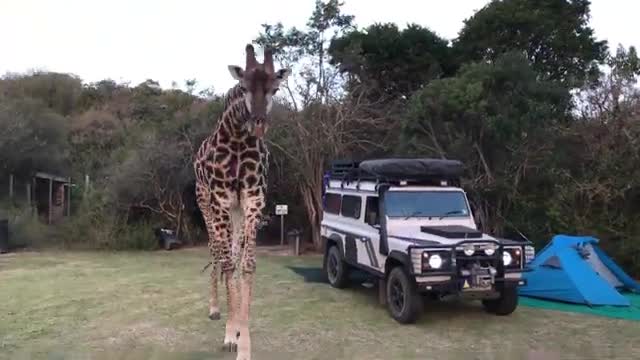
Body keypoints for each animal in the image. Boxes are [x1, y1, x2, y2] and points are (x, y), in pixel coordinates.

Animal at [194, 45, 292, 360]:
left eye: (275, 89)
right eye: (244, 87)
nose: (258, 125)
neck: (237, 138)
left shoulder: (253, 198)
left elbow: (246, 263)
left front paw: (243, 342)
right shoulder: (221, 199)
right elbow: (227, 263)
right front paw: (229, 335)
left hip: (235, 212)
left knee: (233, 254)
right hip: (206, 204)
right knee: (217, 251)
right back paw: (215, 309)